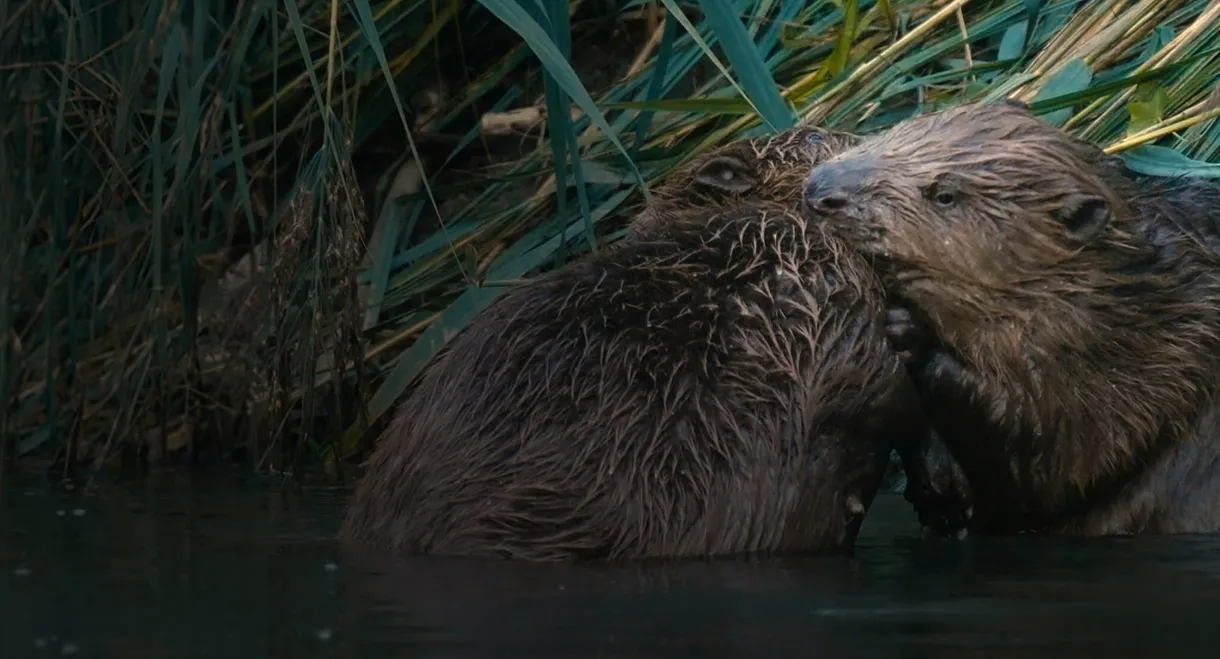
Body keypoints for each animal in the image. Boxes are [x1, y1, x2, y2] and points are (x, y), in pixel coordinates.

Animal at [805, 97, 1220, 536]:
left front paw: (906, 329)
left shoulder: (1129, 363)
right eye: (898, 131)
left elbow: (1048, 465)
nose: (820, 189)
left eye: (945, 195)